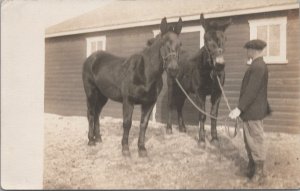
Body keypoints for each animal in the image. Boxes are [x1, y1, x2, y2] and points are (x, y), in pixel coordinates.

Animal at [81, 17, 183, 157]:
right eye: (164, 43)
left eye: (180, 44)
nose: (174, 70)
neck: (145, 73)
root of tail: (91, 59)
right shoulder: (128, 101)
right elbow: (127, 123)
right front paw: (125, 149)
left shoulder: (149, 103)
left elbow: (143, 124)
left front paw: (142, 149)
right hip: (91, 93)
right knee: (91, 114)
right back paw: (91, 140)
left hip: (103, 96)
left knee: (97, 113)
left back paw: (99, 138)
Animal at [166, 13, 232, 148]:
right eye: (206, 39)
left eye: (225, 39)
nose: (220, 64)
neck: (210, 72)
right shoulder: (200, 93)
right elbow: (202, 115)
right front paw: (201, 140)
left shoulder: (217, 93)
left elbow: (213, 115)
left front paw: (214, 139)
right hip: (172, 86)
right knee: (170, 104)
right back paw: (169, 128)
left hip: (183, 90)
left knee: (179, 106)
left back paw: (182, 128)